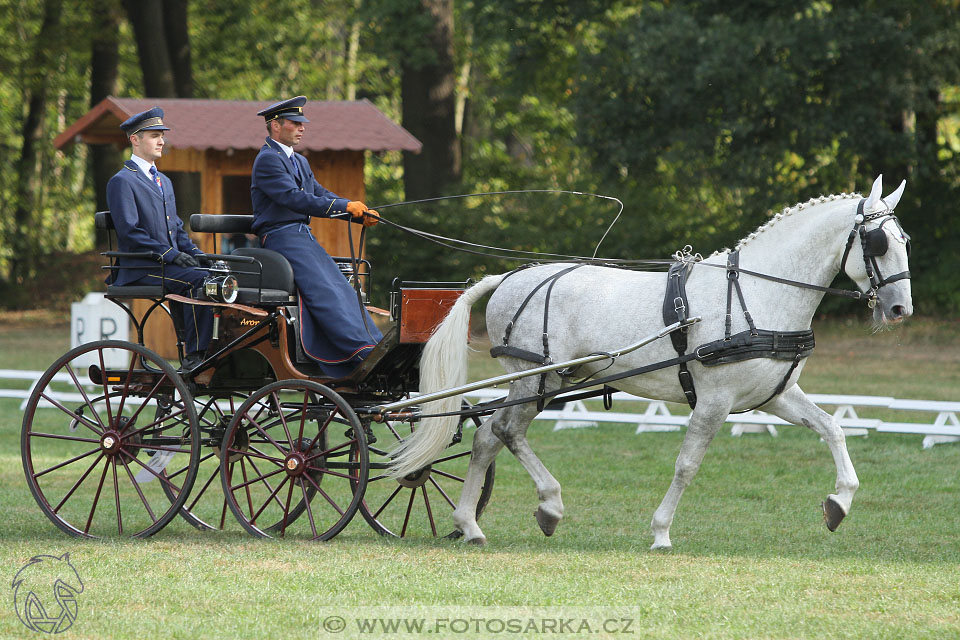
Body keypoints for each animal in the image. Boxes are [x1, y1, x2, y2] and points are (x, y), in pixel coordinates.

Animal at [386, 175, 912, 552]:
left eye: (904, 238)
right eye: (879, 243)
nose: (899, 309)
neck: (756, 292)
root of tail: (511, 277)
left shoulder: (775, 396)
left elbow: (832, 428)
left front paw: (839, 502)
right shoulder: (714, 401)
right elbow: (687, 465)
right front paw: (661, 532)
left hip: (542, 382)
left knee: (486, 437)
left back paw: (471, 524)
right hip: (537, 377)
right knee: (504, 432)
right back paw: (544, 507)